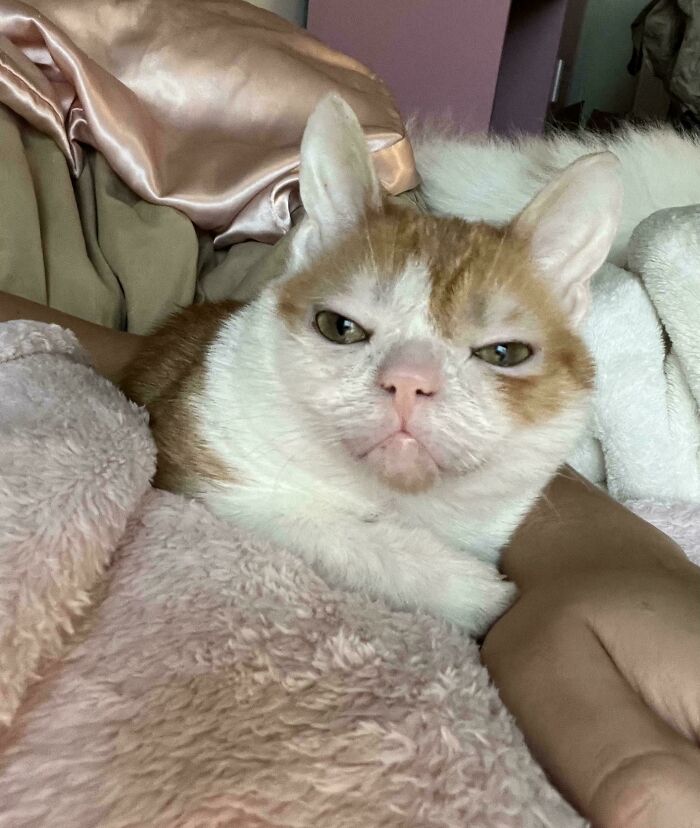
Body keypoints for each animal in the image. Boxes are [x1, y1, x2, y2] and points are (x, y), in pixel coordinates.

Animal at [123, 94, 620, 632]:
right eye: (340, 327)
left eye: (502, 353)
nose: (409, 380)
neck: (394, 503)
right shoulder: (201, 467)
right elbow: (322, 528)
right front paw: (467, 588)